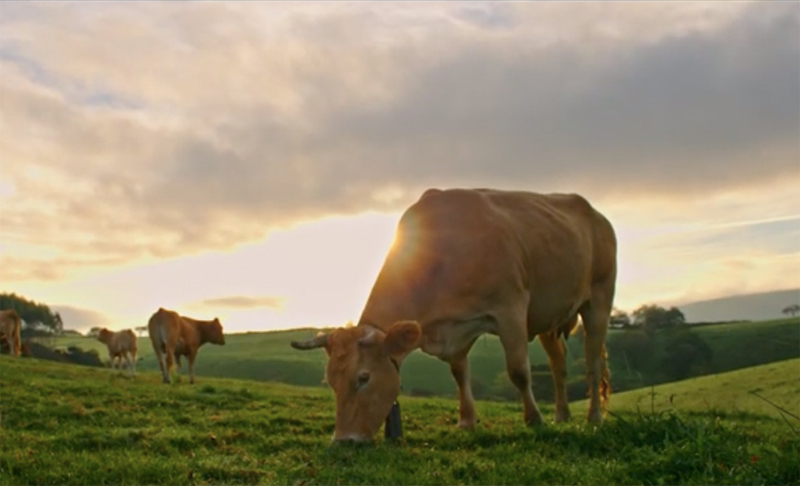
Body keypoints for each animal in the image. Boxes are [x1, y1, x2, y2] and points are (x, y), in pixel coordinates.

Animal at [290, 188, 616, 442]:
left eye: (364, 377)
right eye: (331, 382)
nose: (344, 440)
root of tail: (597, 214)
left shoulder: (510, 310)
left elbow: (518, 371)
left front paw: (534, 418)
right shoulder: (455, 328)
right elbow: (460, 373)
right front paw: (466, 421)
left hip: (599, 299)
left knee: (593, 362)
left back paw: (594, 417)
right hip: (550, 315)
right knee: (558, 365)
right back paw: (562, 415)